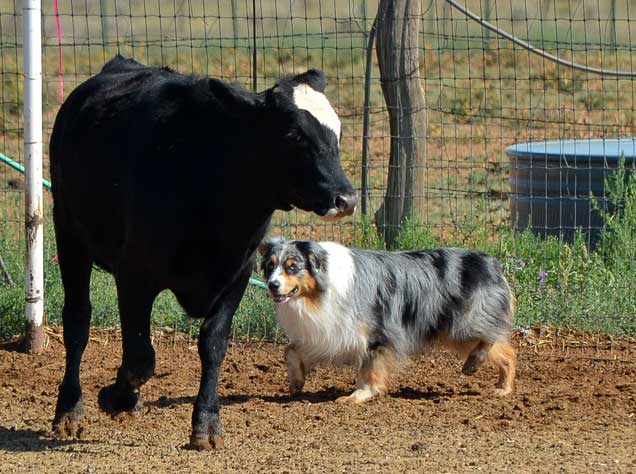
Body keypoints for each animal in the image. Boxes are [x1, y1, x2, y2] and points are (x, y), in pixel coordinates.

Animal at [49, 55, 356, 448]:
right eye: (293, 134)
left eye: (338, 132)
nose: (345, 198)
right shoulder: (135, 274)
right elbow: (141, 357)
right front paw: (116, 398)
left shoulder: (237, 276)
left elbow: (213, 345)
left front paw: (206, 423)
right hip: (69, 236)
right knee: (77, 321)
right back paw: (69, 410)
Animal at [258, 237, 516, 404]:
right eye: (270, 266)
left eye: (292, 267)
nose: (272, 285)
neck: (321, 288)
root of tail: (491, 262)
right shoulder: (329, 332)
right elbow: (290, 351)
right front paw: (296, 381)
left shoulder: (377, 333)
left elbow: (369, 367)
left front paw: (360, 395)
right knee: (507, 352)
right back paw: (501, 387)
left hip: (462, 324)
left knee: (497, 341)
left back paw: (481, 369)